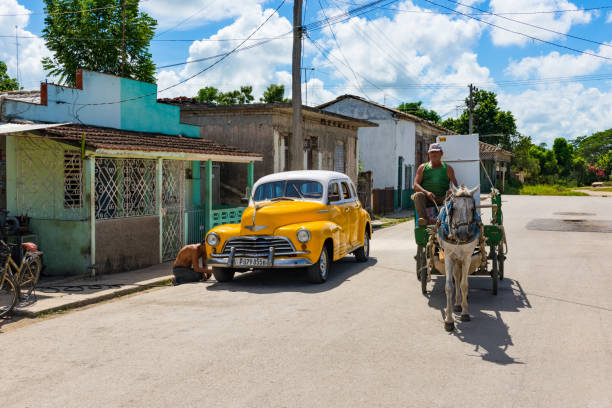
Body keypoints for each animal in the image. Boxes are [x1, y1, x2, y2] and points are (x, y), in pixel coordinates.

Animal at [436, 184, 482, 332]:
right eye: (453, 208)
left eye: (472, 209)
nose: (463, 235)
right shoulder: (448, 257)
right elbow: (450, 286)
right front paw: (449, 320)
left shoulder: (467, 257)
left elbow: (464, 284)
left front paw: (465, 313)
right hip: (455, 258)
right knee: (456, 276)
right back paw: (455, 304)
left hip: (460, 258)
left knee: (459, 278)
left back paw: (458, 303)